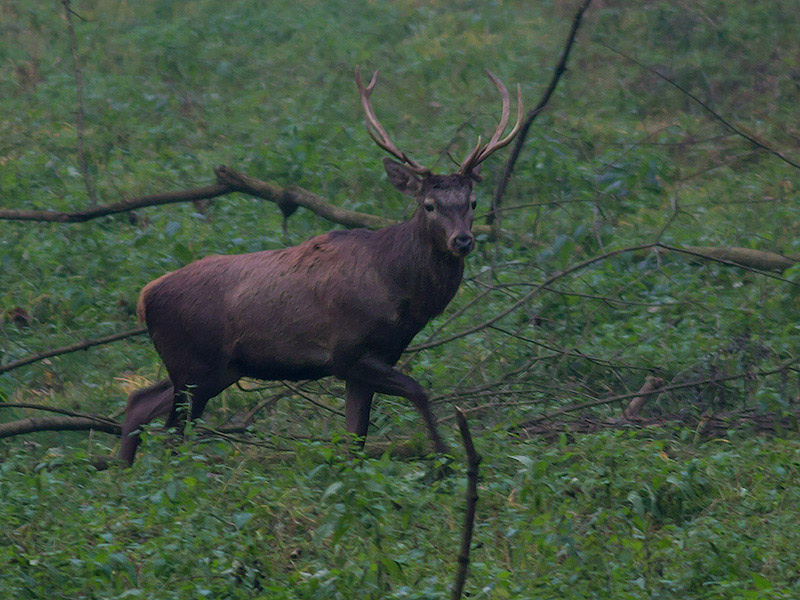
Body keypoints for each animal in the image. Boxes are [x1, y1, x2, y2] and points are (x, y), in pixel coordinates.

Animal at [115, 69, 520, 464]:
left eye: (472, 201)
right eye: (429, 205)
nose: (462, 240)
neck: (398, 291)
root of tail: (144, 298)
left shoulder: (376, 358)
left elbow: (355, 441)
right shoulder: (347, 352)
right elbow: (417, 391)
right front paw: (448, 460)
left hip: (215, 369)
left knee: (139, 402)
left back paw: (121, 470)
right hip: (195, 364)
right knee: (172, 434)